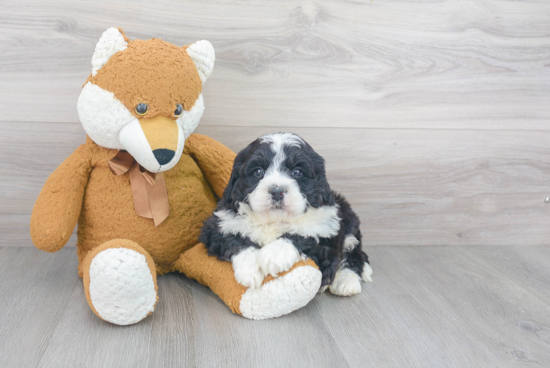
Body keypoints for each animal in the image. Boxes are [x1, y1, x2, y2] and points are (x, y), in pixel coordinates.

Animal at [201, 132, 374, 296]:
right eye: (258, 171)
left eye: (297, 172)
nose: (277, 191)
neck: (274, 219)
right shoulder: (217, 226)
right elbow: (235, 239)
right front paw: (251, 267)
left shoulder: (327, 234)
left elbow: (304, 236)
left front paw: (274, 255)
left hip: (349, 227)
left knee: (354, 256)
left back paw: (347, 282)